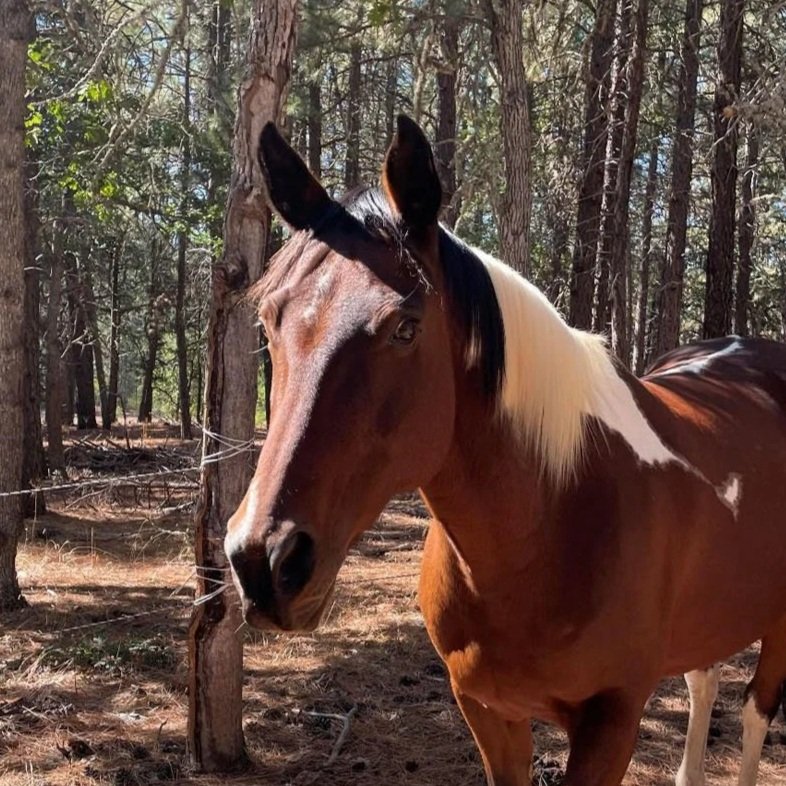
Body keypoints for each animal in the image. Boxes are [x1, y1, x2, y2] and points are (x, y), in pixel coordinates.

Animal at [224, 115, 786, 786]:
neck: (548, 521)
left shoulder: (613, 720)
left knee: (754, 713)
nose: (264, 561)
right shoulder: (488, 709)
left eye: (405, 327)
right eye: (269, 320)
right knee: (705, 682)